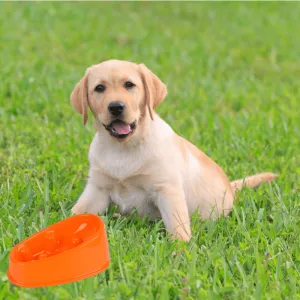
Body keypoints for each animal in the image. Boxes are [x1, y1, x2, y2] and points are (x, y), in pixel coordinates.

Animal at [70, 60, 276, 241]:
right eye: (99, 88)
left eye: (129, 85)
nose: (116, 107)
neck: (122, 148)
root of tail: (231, 188)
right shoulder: (97, 189)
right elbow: (75, 214)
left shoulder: (167, 190)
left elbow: (178, 227)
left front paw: (181, 253)